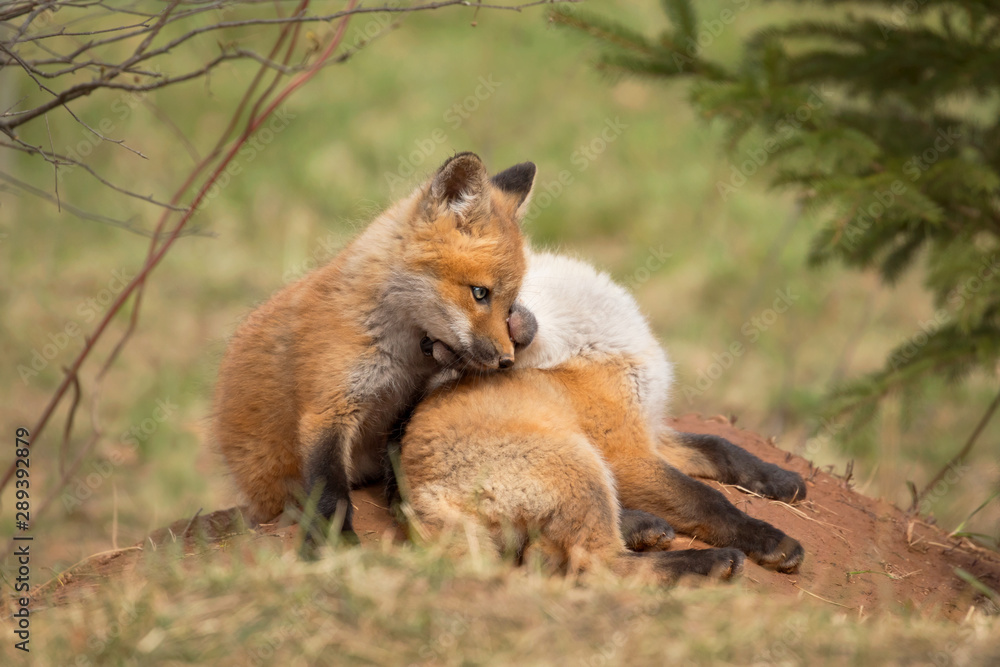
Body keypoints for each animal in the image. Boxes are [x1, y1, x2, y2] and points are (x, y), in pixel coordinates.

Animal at [212, 152, 537, 535]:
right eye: (480, 293)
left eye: (510, 305)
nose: (506, 360)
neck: (399, 356)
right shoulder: (328, 409)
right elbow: (330, 491)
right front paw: (335, 543)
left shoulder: (405, 403)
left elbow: (399, 461)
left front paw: (402, 505)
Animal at [400, 251, 806, 584]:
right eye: (444, 348)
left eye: (480, 294)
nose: (494, 352)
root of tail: (420, 497)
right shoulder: (626, 454)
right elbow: (707, 498)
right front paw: (769, 540)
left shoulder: (648, 429)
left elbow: (721, 447)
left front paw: (781, 479)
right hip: (581, 465)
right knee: (595, 564)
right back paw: (706, 562)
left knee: (545, 555)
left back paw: (642, 526)